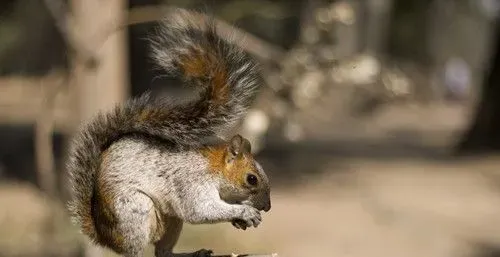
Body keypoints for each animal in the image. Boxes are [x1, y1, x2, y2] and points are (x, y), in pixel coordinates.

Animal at [66, 8, 272, 256]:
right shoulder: (192, 182)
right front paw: (244, 212)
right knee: (136, 250)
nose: (267, 207)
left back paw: (193, 252)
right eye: (251, 179)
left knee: (162, 251)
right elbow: (200, 210)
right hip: (134, 212)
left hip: (171, 220)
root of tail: (106, 238)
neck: (216, 168)